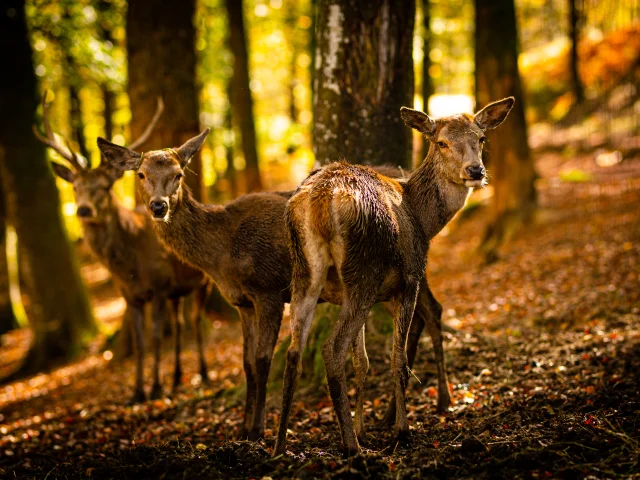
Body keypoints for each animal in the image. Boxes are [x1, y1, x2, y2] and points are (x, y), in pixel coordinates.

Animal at [33, 95, 210, 404]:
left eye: (105, 186)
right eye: (75, 187)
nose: (83, 210)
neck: (128, 267)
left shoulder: (160, 287)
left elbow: (155, 338)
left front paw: (155, 388)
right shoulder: (130, 296)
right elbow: (139, 343)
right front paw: (138, 392)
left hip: (202, 283)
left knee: (196, 321)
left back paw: (202, 372)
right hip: (177, 291)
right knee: (179, 324)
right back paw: (177, 377)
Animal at [276, 96, 516, 454]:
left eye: (482, 138)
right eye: (441, 142)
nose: (476, 171)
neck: (423, 219)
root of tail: (321, 200)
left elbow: (362, 362)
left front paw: (363, 428)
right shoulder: (409, 280)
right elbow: (397, 360)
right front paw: (401, 431)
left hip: (306, 273)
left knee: (294, 353)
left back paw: (280, 446)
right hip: (365, 270)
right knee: (332, 349)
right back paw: (352, 447)